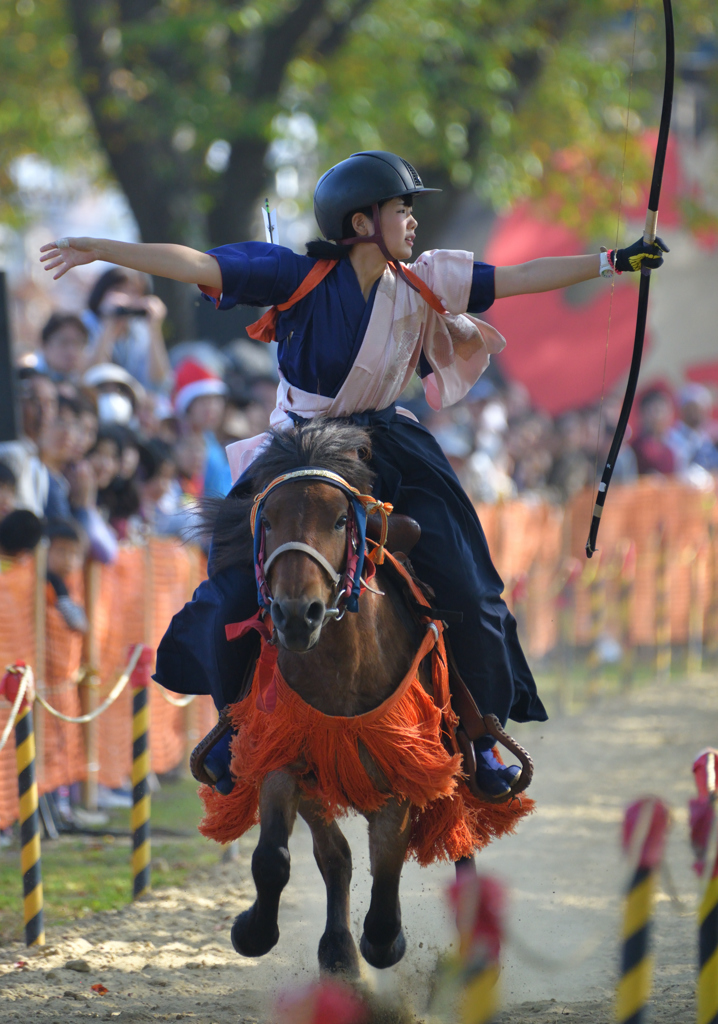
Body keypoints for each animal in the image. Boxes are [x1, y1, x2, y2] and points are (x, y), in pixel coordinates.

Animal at [200, 421, 528, 974]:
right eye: (268, 521)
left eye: (338, 520)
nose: (296, 615)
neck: (342, 670)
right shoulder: (284, 750)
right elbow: (283, 858)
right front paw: (257, 931)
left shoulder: (408, 764)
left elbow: (388, 862)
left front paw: (383, 940)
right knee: (337, 858)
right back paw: (337, 950)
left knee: (461, 843)